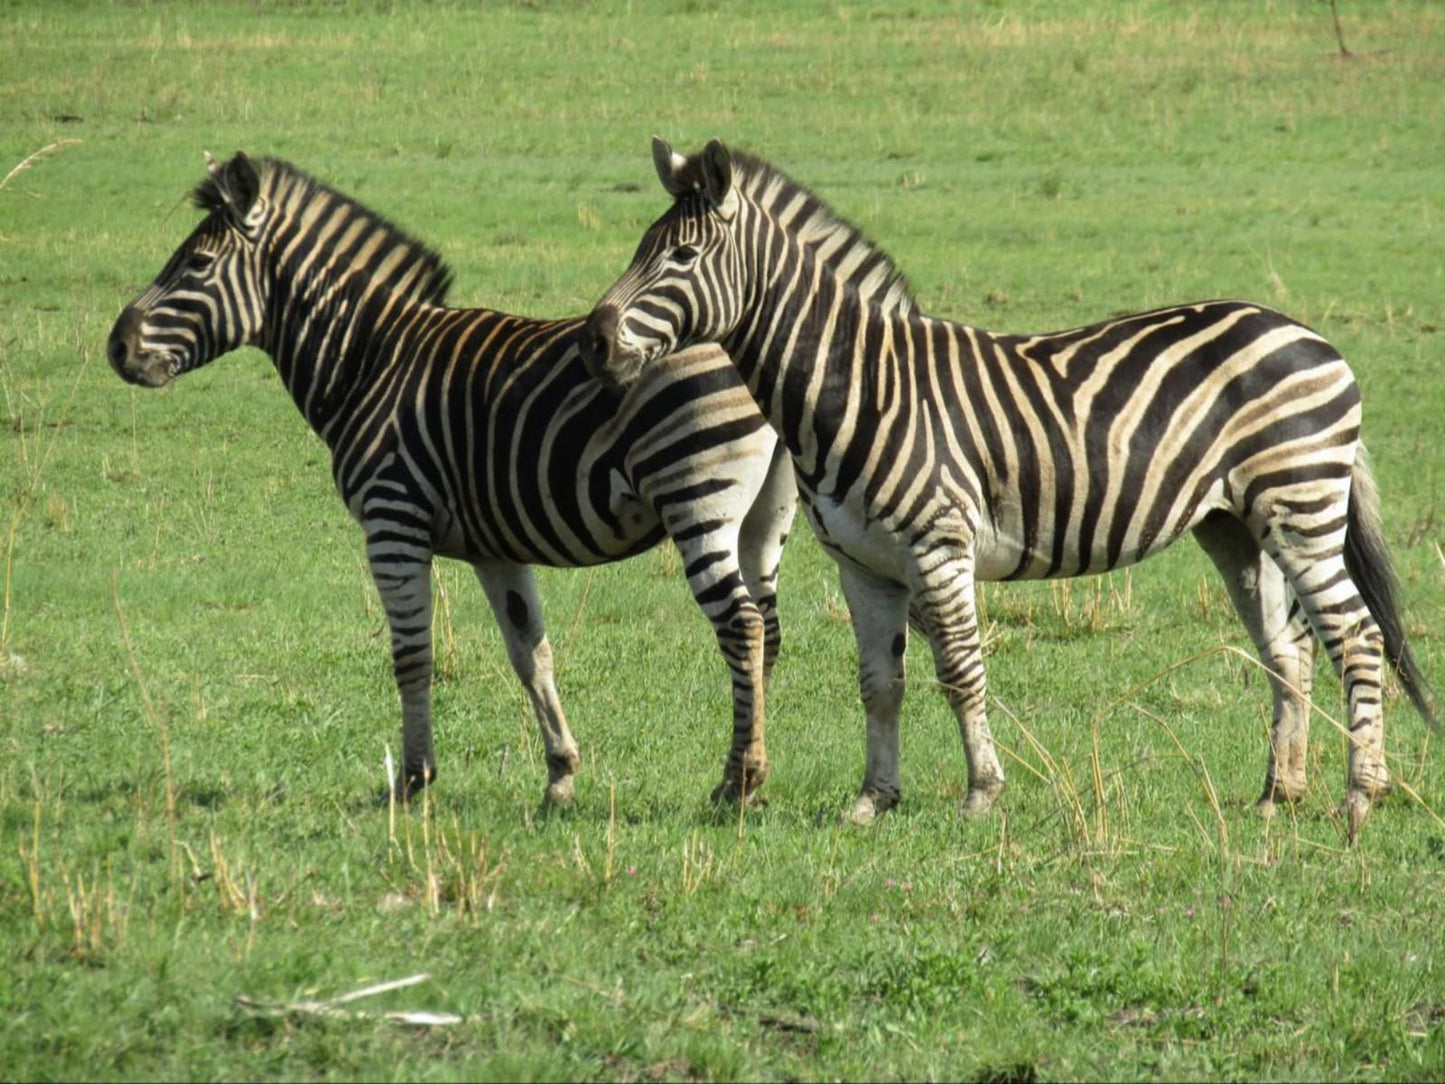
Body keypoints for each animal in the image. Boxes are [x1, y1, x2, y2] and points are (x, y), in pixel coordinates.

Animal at [105, 153, 797, 809]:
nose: (116, 347)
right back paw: (752, 769)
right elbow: (531, 654)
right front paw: (560, 775)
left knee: (741, 625)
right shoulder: (496, 548)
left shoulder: (392, 522)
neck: (369, 359)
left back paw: (739, 777)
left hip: (696, 500)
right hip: (766, 517)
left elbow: (413, 658)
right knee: (766, 628)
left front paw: (413, 779)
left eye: (197, 264)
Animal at [583, 140, 1433, 838]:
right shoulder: (861, 566)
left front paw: (980, 794)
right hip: (1234, 526)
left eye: (682, 256)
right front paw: (871, 800)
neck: (858, 383)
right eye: (642, 249)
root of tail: (1309, 334)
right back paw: (1275, 795)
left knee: (1355, 636)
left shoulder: (938, 546)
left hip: (1300, 506)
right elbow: (878, 684)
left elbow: (960, 672)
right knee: (1286, 650)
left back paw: (1359, 797)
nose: (594, 340)